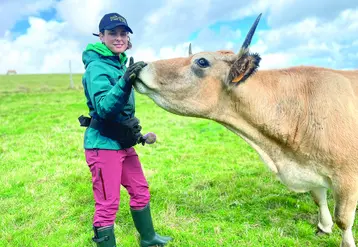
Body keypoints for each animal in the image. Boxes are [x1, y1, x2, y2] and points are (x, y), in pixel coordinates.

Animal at [133, 14, 358, 246]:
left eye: (202, 61)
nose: (142, 65)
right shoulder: (309, 167)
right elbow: (318, 198)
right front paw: (323, 226)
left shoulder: (347, 177)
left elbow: (343, 219)